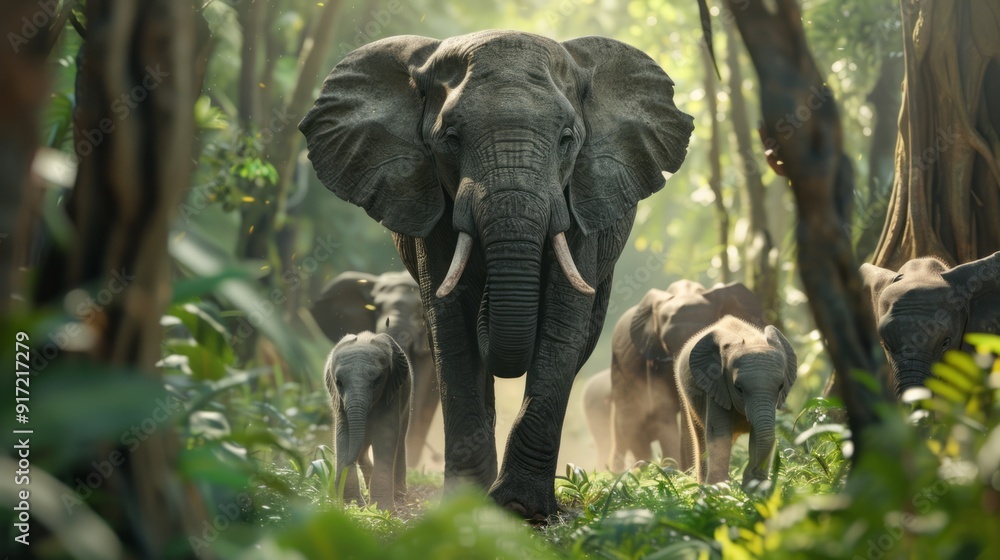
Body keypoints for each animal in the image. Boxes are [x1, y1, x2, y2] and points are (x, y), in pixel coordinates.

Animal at [326, 331, 412, 511]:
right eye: (339, 383)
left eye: (377, 381)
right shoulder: (340, 402)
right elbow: (343, 434)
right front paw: (352, 506)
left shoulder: (391, 392)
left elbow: (385, 435)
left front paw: (381, 510)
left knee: (400, 440)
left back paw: (399, 495)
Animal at [675, 316, 797, 491]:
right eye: (738, 388)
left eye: (780, 386)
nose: (749, 472)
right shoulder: (716, 385)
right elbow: (719, 433)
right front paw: (718, 491)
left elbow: (759, 434)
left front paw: (754, 489)